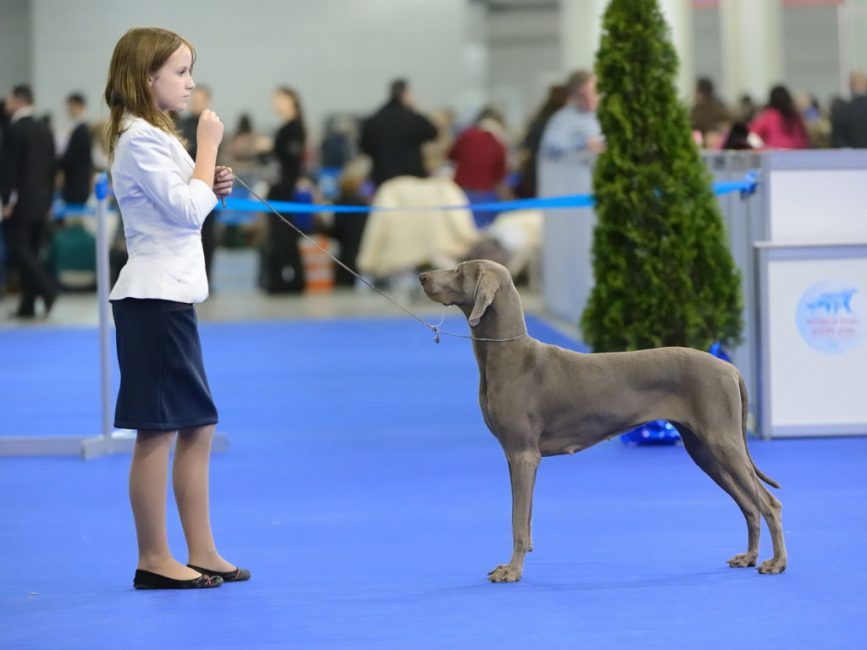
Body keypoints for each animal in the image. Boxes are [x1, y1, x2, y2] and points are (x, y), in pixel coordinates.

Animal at [418, 258, 792, 584]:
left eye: (459, 270)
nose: (422, 276)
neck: (509, 355)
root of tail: (730, 369)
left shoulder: (523, 454)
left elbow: (516, 522)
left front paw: (512, 571)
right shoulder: (517, 458)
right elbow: (524, 517)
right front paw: (513, 564)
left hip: (722, 442)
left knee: (768, 503)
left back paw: (776, 563)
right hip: (702, 450)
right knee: (749, 505)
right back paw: (749, 557)